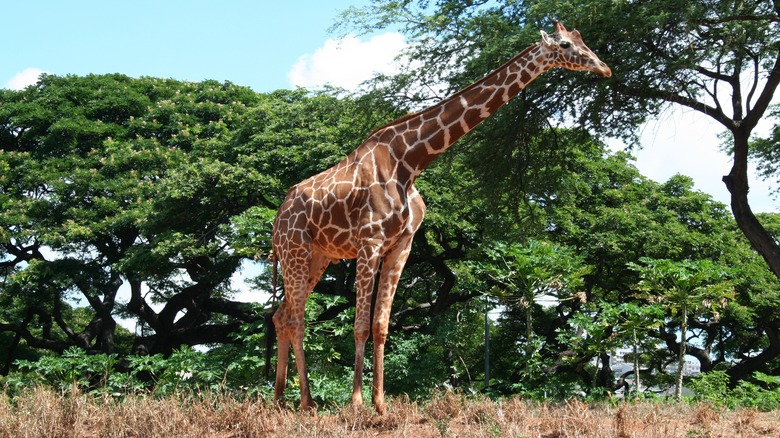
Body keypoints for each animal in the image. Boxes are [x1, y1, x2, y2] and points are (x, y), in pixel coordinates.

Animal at [272, 21, 612, 414]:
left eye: (583, 41)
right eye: (565, 45)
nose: (604, 68)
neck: (410, 162)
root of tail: (277, 219)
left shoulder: (401, 245)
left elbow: (382, 324)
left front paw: (381, 404)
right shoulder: (370, 242)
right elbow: (359, 325)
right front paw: (356, 403)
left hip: (319, 256)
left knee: (280, 314)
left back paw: (279, 398)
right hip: (296, 250)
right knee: (295, 318)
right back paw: (305, 403)